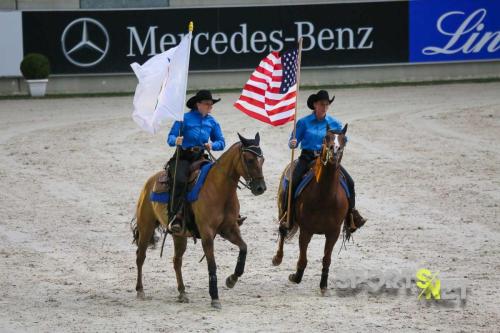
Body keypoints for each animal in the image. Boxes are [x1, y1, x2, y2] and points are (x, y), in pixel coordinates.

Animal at [132, 131, 266, 308]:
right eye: (249, 159)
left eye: (262, 159)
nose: (261, 188)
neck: (219, 189)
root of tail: (149, 183)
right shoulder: (207, 234)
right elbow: (212, 264)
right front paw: (215, 297)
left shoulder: (229, 229)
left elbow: (244, 248)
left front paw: (231, 279)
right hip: (146, 228)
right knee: (140, 256)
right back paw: (140, 290)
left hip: (179, 235)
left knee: (176, 261)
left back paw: (182, 292)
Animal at [272, 124, 350, 294]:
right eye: (326, 138)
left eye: (343, 140)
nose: (335, 150)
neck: (325, 197)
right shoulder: (306, 230)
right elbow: (303, 259)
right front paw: (295, 277)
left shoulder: (333, 232)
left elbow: (327, 259)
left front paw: (323, 285)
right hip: (283, 210)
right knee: (282, 230)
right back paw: (277, 258)